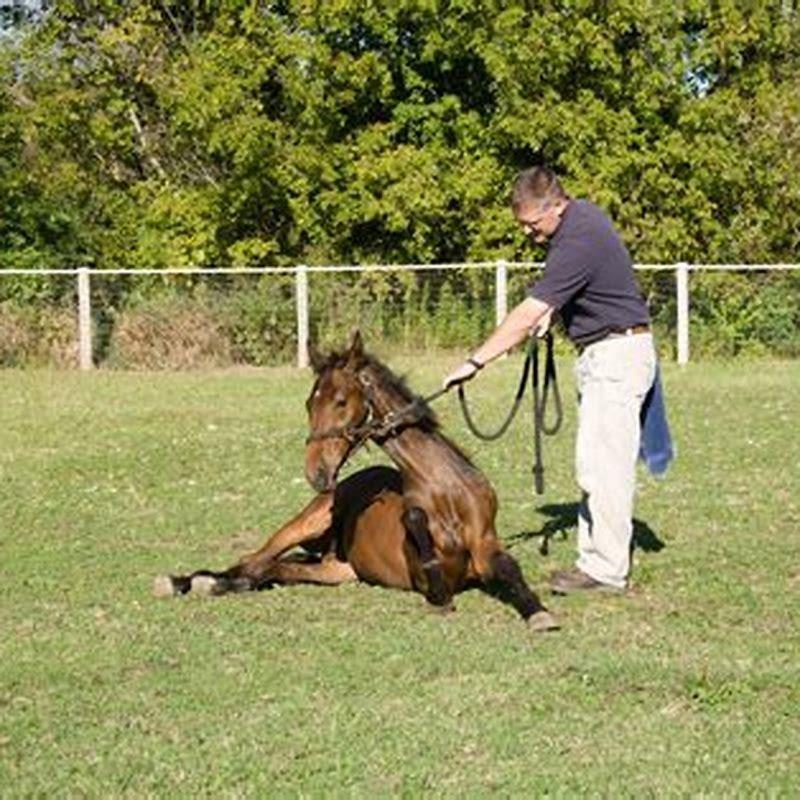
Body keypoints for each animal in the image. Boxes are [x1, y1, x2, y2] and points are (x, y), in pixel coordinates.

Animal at [154, 332, 559, 633]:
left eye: (340, 400)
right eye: (309, 403)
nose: (316, 473)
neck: (446, 491)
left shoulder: (485, 546)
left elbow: (509, 569)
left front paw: (539, 613)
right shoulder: (423, 570)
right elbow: (424, 546)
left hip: (339, 570)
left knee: (275, 568)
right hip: (307, 522)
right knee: (253, 560)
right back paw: (190, 581)